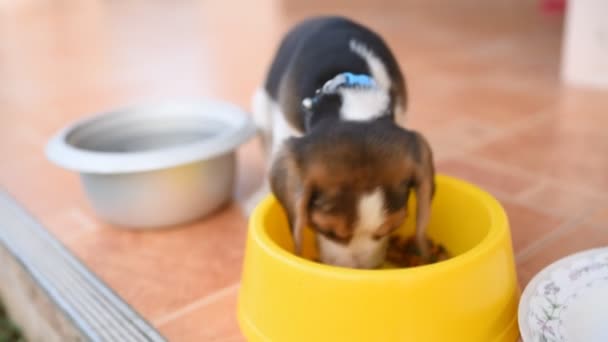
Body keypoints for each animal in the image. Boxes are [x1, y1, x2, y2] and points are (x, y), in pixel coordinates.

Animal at [247, 15, 436, 270]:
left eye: (392, 227)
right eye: (327, 230)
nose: (360, 271)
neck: (352, 97)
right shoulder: (286, 129)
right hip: (261, 107)